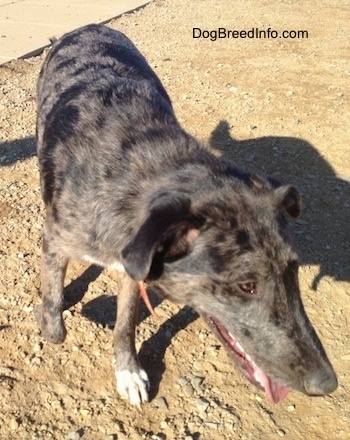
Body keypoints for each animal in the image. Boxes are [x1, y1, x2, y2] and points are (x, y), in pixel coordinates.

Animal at [34, 23, 336, 406]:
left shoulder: (131, 266)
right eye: (246, 285)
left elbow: (125, 323)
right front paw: (51, 318)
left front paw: (128, 371)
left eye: (293, 269)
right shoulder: (56, 238)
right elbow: (54, 309)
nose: (327, 383)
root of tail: (88, 27)